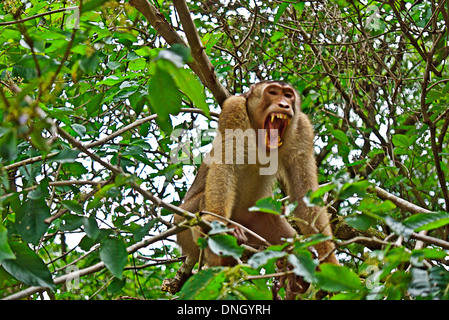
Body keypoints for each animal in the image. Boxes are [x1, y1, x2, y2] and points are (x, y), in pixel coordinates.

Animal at [163, 81, 338, 296]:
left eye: (288, 95)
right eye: (273, 92)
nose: (284, 105)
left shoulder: (302, 128)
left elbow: (304, 194)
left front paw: (329, 261)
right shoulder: (234, 108)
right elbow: (225, 164)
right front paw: (214, 224)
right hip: (183, 222)